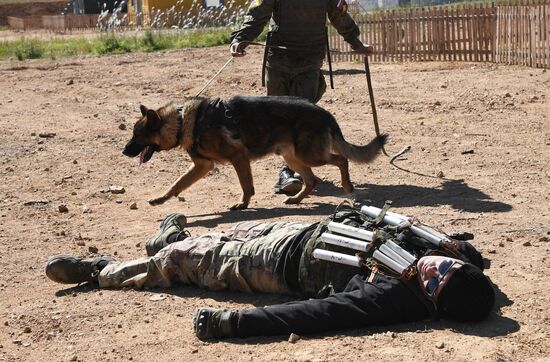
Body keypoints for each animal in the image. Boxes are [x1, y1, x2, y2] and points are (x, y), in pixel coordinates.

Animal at [122, 94, 388, 211]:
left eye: (136, 135)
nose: (124, 151)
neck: (182, 121)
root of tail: (325, 113)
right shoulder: (202, 166)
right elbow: (177, 184)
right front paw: (160, 198)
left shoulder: (238, 158)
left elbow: (246, 186)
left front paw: (243, 203)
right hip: (292, 157)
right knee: (312, 180)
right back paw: (296, 199)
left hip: (310, 156)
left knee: (341, 159)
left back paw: (347, 186)